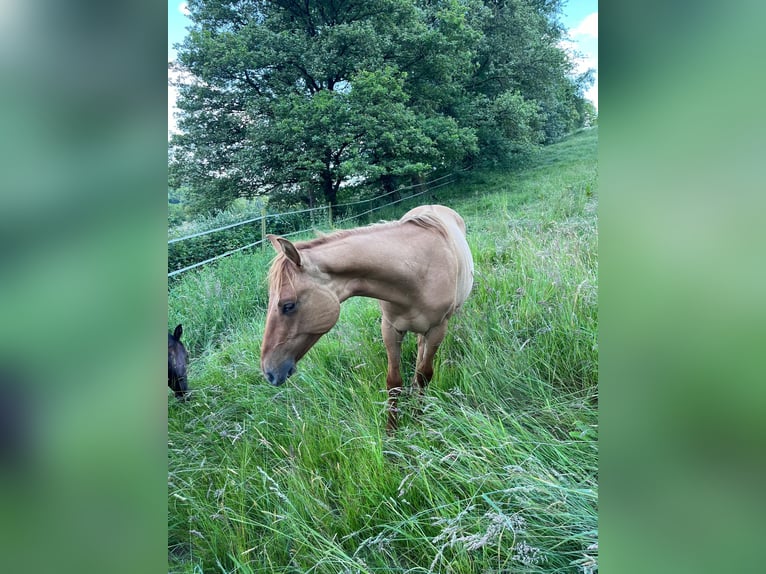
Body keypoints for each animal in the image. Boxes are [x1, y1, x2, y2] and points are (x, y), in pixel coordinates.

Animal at [260, 205, 472, 430]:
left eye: (288, 305)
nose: (269, 372)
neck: (418, 271)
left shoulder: (437, 329)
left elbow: (424, 375)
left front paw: (418, 418)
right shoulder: (390, 328)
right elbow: (394, 382)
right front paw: (392, 431)